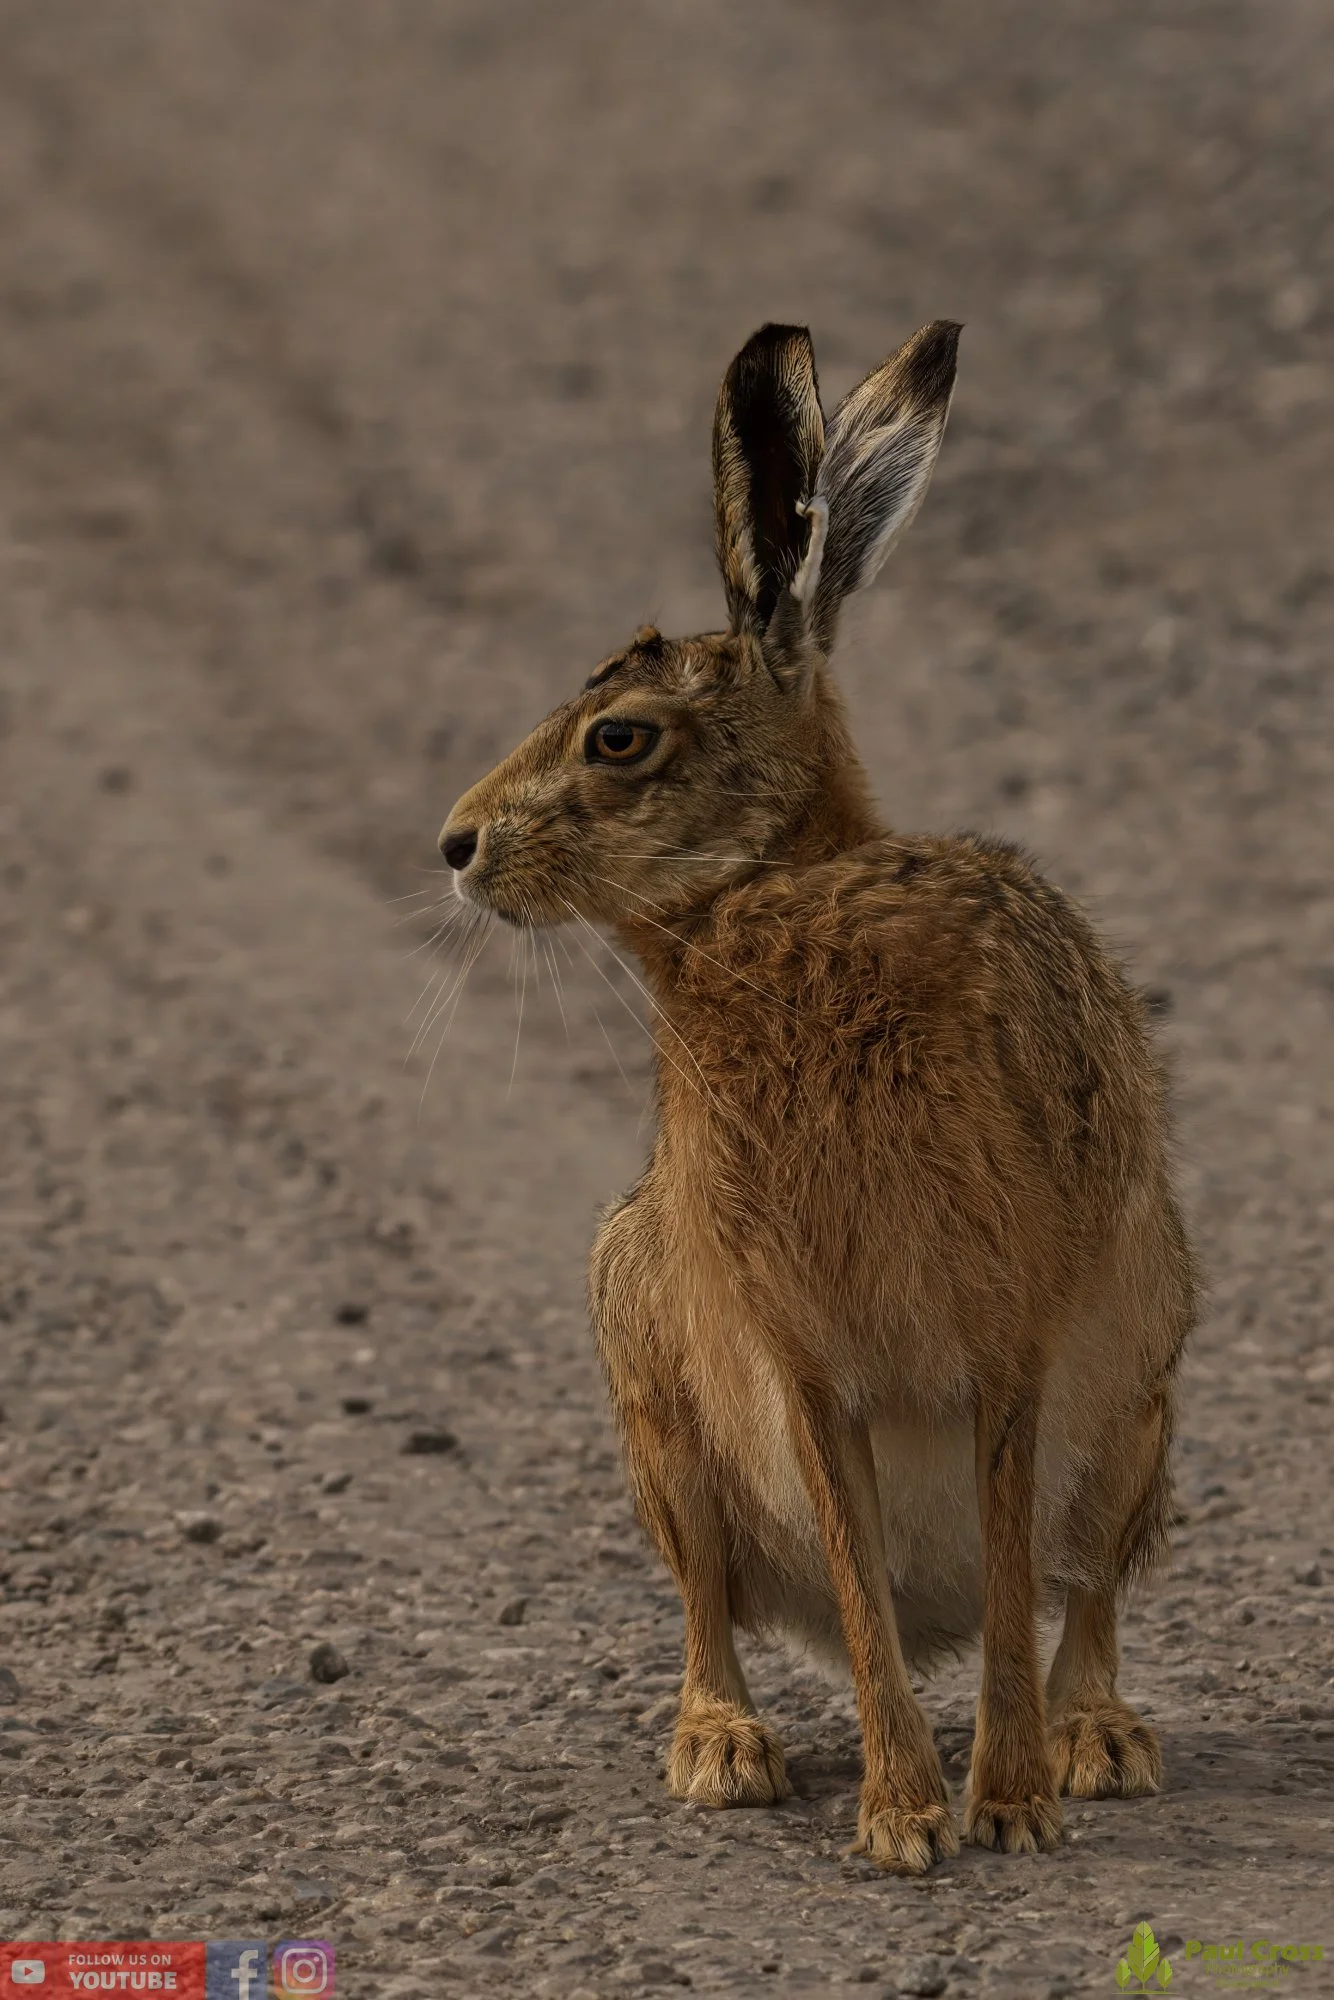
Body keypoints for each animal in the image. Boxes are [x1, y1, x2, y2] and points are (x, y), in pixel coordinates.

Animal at [438, 319, 1197, 1873]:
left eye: (618, 738)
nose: (456, 846)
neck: (761, 906)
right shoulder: (797, 1354)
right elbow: (852, 1584)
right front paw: (905, 1821)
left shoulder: (1010, 1328)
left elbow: (1009, 1553)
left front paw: (1006, 1809)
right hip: (651, 1380)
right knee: (719, 1605)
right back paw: (721, 1750)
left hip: (1141, 1382)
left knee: (1078, 1588)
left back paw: (1094, 1740)